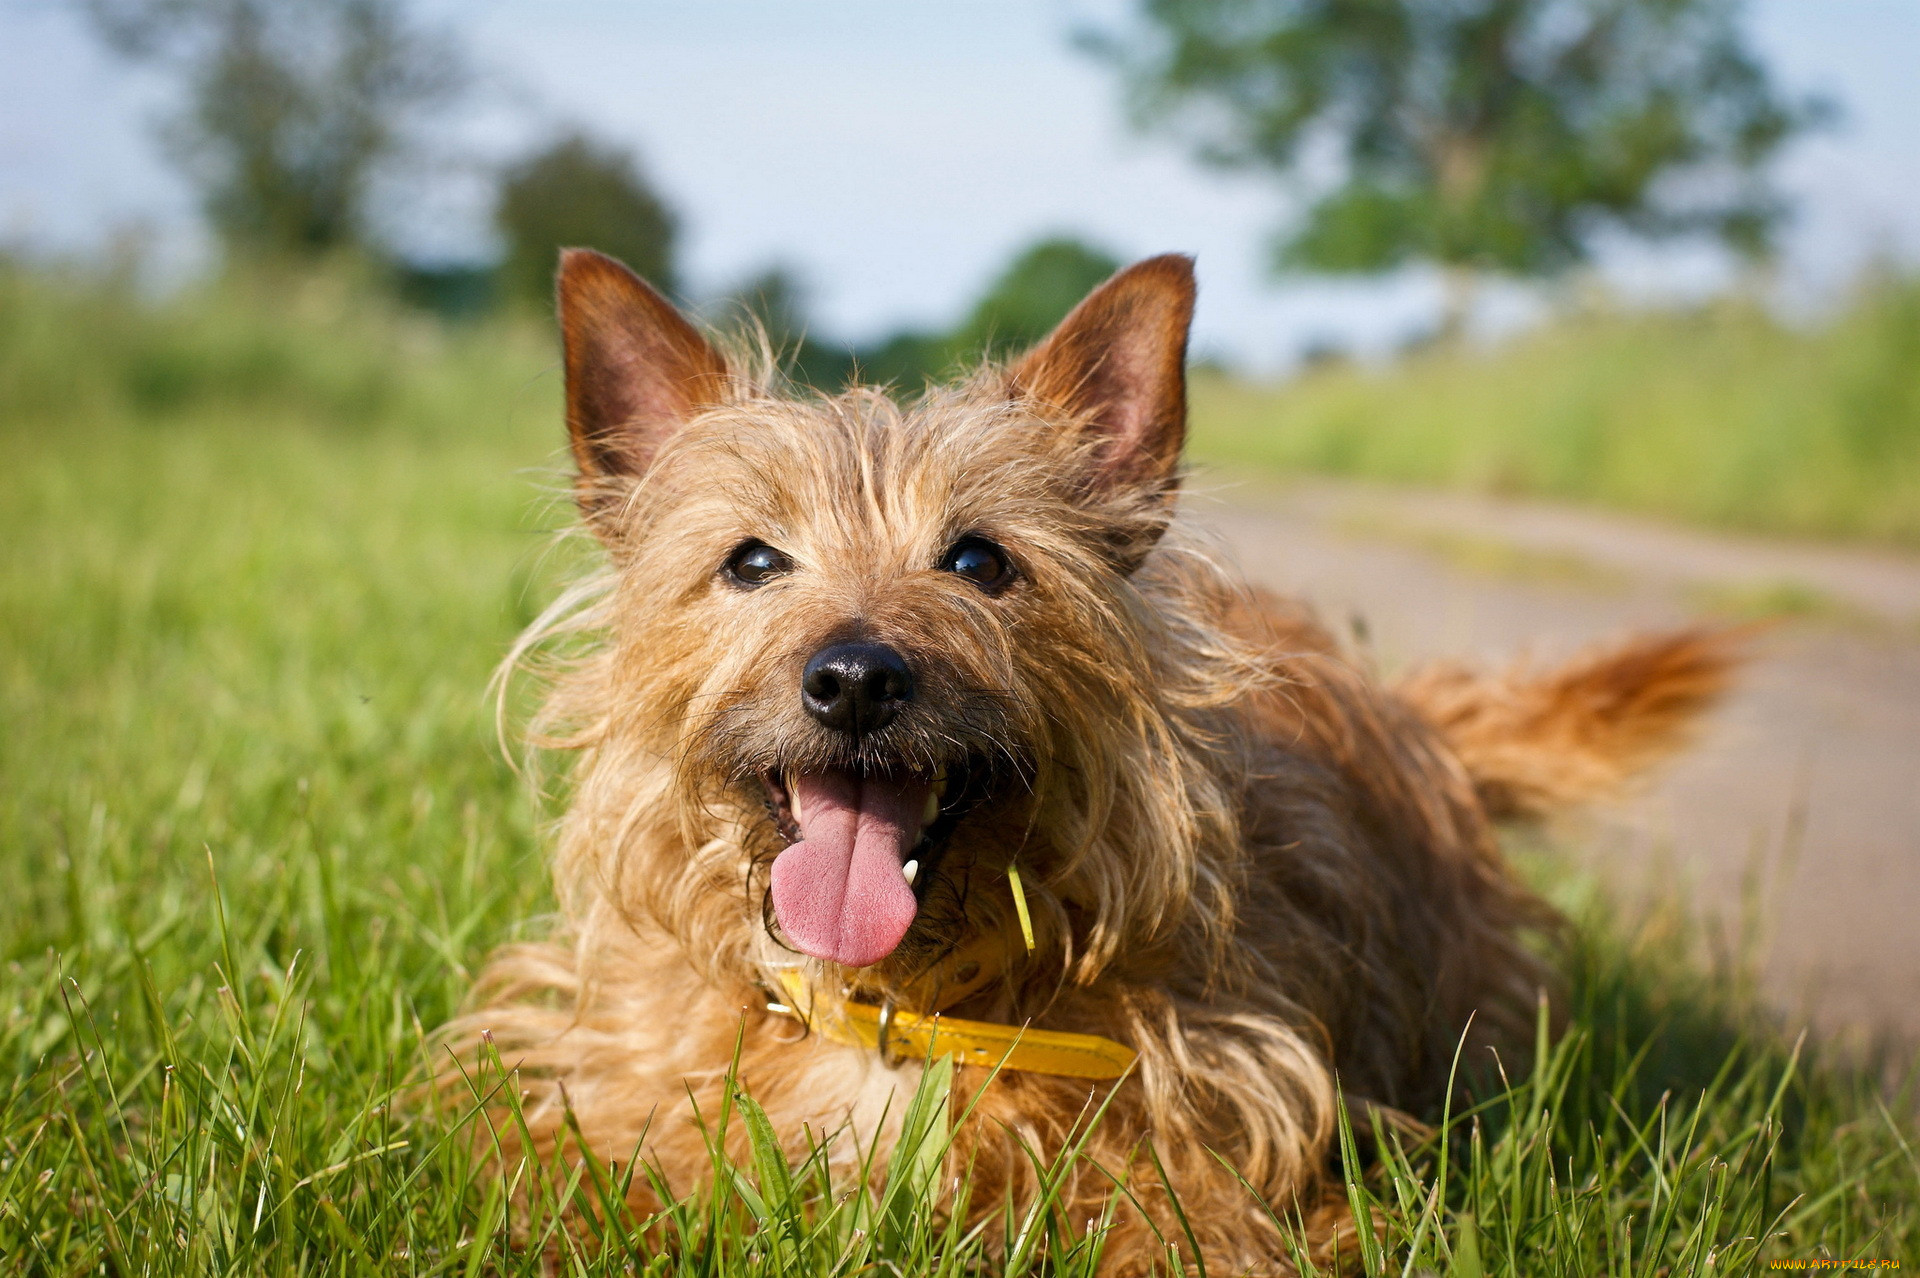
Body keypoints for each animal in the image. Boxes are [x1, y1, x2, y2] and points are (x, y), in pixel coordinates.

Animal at [441, 245, 1735, 1266]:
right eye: (752, 561)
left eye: (979, 560)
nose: (856, 678)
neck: (899, 1010)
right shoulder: (598, 1099)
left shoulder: (1216, 1172)